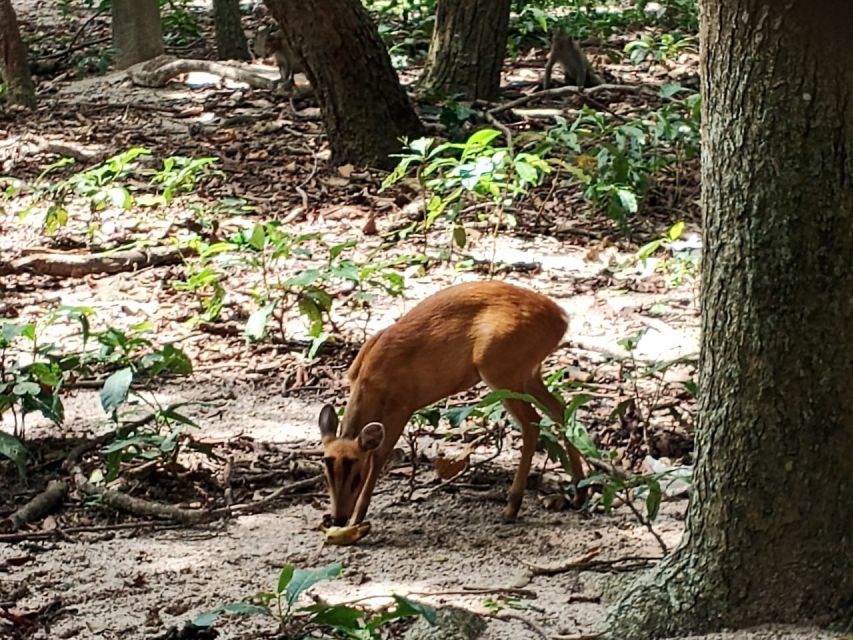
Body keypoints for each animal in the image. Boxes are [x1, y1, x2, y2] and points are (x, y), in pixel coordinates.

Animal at [316, 282, 588, 528]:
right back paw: (578, 494)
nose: (338, 519)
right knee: (560, 409)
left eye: (356, 476)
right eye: (326, 474)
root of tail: (561, 319)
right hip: (528, 372)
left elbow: (379, 456)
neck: (371, 380)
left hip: (500, 368)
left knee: (532, 422)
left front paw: (357, 519)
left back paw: (512, 508)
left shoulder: (402, 405)